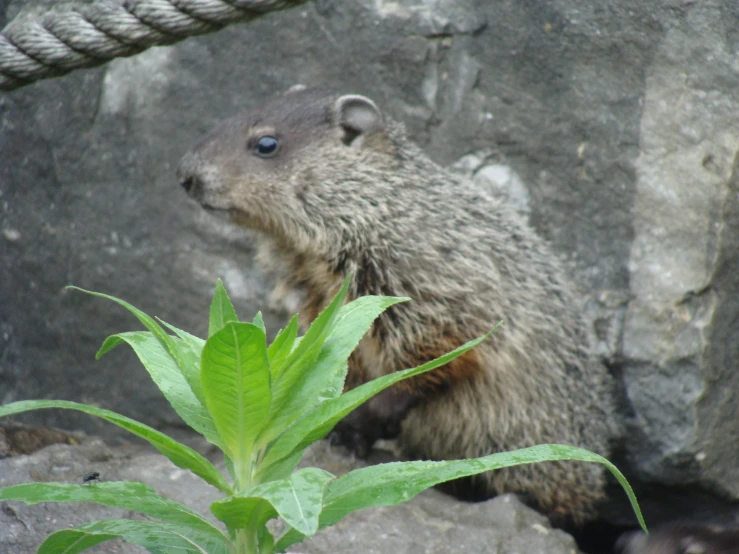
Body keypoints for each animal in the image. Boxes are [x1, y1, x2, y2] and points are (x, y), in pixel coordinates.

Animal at [179, 86, 624, 520]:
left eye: (266, 144)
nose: (184, 175)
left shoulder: (429, 266)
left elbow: (445, 341)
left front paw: (367, 419)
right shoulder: (314, 288)